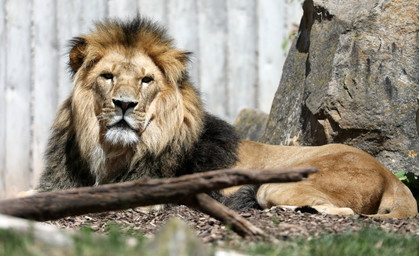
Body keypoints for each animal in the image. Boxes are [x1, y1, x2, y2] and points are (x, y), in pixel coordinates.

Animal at [36, 16, 416, 218]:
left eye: (146, 80)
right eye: (108, 77)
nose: (124, 104)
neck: (113, 154)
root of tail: (391, 178)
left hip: (275, 185)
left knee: (344, 212)